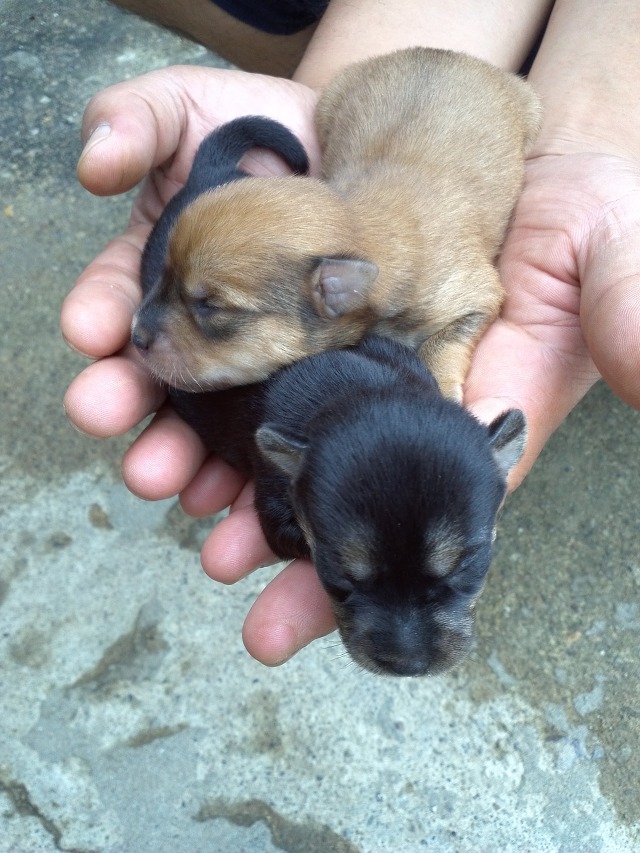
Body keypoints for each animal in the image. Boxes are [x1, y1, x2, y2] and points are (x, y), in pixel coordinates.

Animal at [132, 47, 540, 400]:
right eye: (161, 274)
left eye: (211, 306)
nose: (135, 336)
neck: (362, 219)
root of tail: (444, 52)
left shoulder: (475, 296)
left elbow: (447, 339)